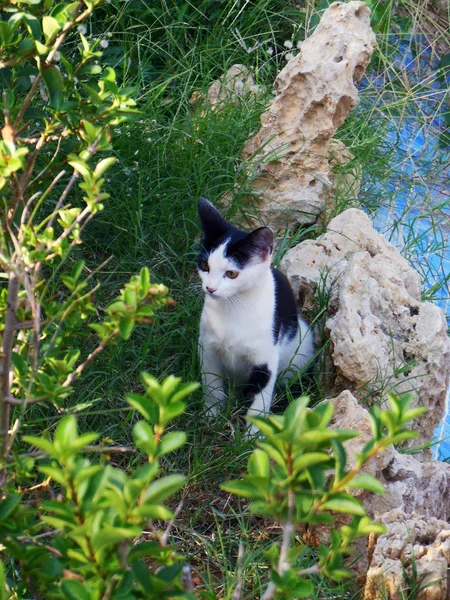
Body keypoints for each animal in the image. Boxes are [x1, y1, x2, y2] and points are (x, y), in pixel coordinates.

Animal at [195, 198, 314, 436]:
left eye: (231, 273)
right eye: (204, 266)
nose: (210, 288)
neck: (234, 308)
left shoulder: (265, 361)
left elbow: (259, 401)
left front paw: (253, 437)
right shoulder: (207, 349)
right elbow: (213, 386)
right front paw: (211, 417)